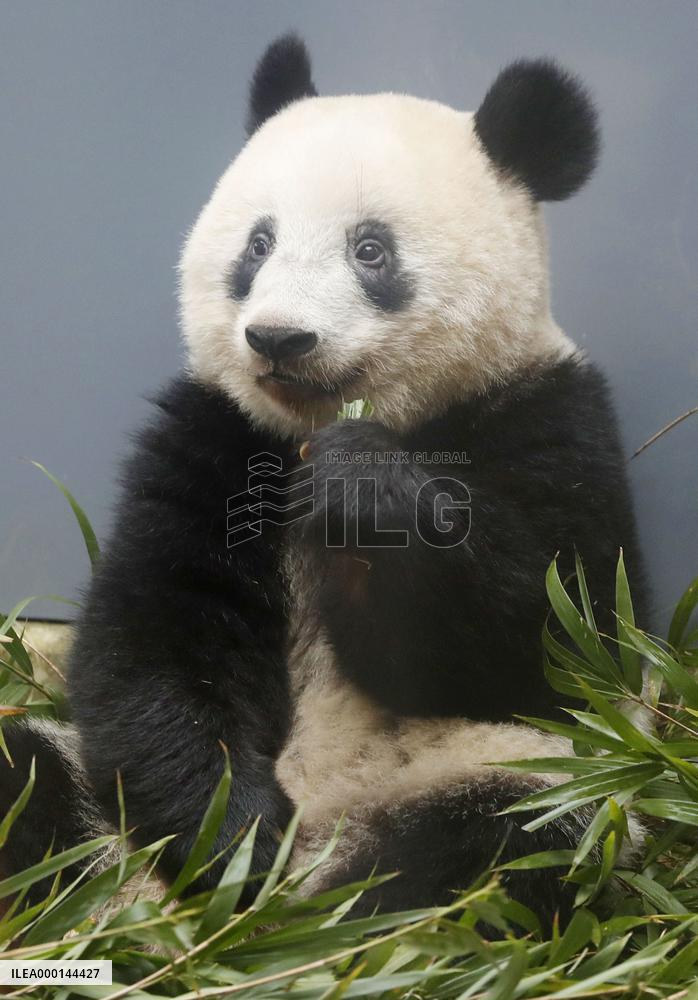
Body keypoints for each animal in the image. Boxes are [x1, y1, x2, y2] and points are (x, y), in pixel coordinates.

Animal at [1, 35, 648, 924]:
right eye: (258, 244)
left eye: (370, 250)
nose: (279, 338)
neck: (313, 429)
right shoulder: (216, 436)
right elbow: (156, 636)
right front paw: (231, 839)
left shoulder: (548, 415)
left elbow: (557, 642)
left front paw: (366, 490)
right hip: (99, 807)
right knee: (25, 778)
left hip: (521, 777)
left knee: (510, 844)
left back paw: (345, 916)